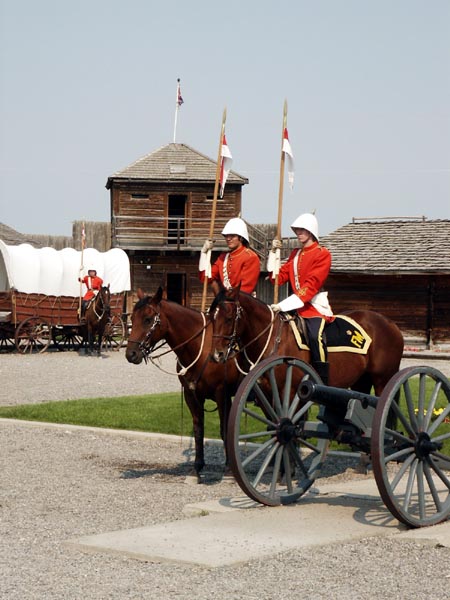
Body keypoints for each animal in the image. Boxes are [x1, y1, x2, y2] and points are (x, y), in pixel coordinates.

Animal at [125, 288, 246, 480]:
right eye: (132, 318)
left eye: (148, 319)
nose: (131, 354)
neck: (202, 350)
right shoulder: (191, 395)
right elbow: (198, 428)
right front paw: (197, 467)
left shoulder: (223, 394)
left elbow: (225, 429)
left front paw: (229, 467)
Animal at [210, 286, 404, 398]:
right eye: (211, 316)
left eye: (228, 318)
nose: (216, 355)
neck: (273, 339)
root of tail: (391, 324)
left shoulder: (290, 393)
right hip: (361, 381)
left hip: (383, 382)